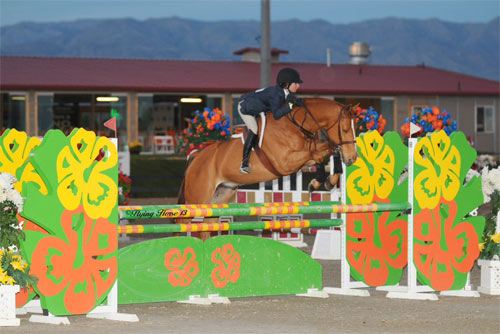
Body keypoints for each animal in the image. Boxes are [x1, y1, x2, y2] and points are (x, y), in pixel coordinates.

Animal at [178, 97, 358, 240]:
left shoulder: (305, 157)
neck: (296, 125)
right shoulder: (285, 162)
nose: (352, 158)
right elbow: (319, 155)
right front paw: (317, 182)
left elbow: (325, 151)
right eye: (345, 129)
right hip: (198, 198)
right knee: (181, 222)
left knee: (207, 225)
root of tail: (196, 155)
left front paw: (327, 181)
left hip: (222, 193)